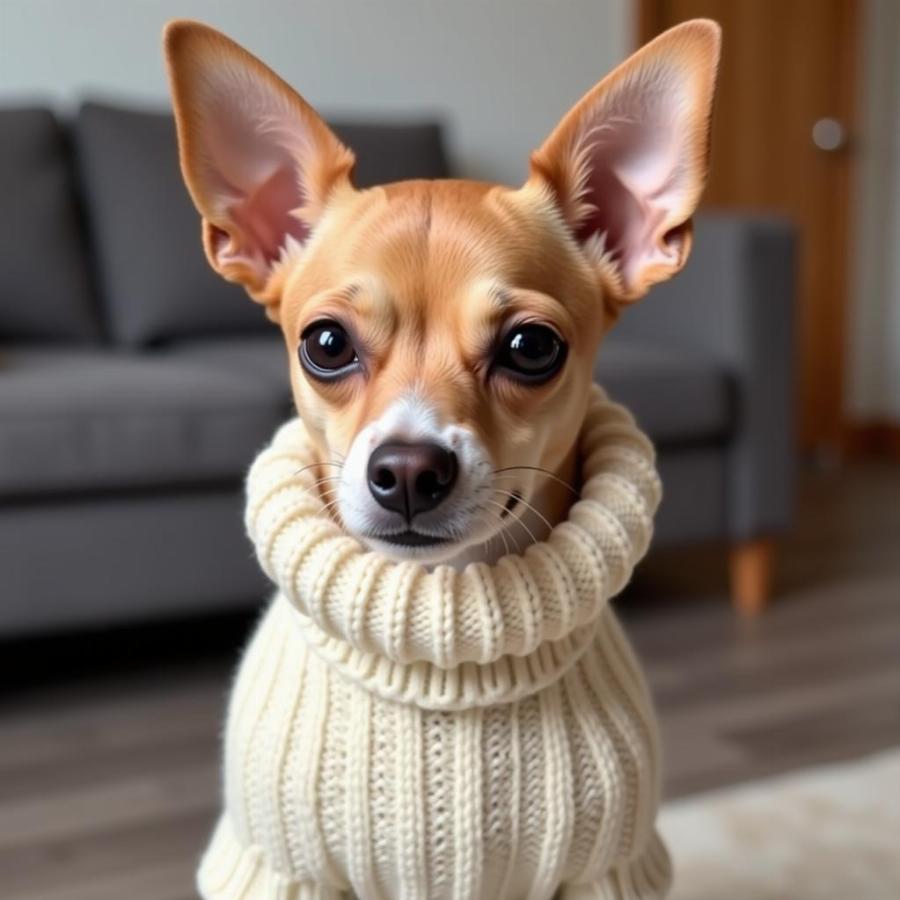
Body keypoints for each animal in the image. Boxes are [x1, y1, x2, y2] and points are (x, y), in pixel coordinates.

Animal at [165, 15, 720, 900]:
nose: (407, 471)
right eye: (326, 344)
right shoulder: (282, 872)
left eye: (532, 347)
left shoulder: (605, 873)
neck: (441, 645)